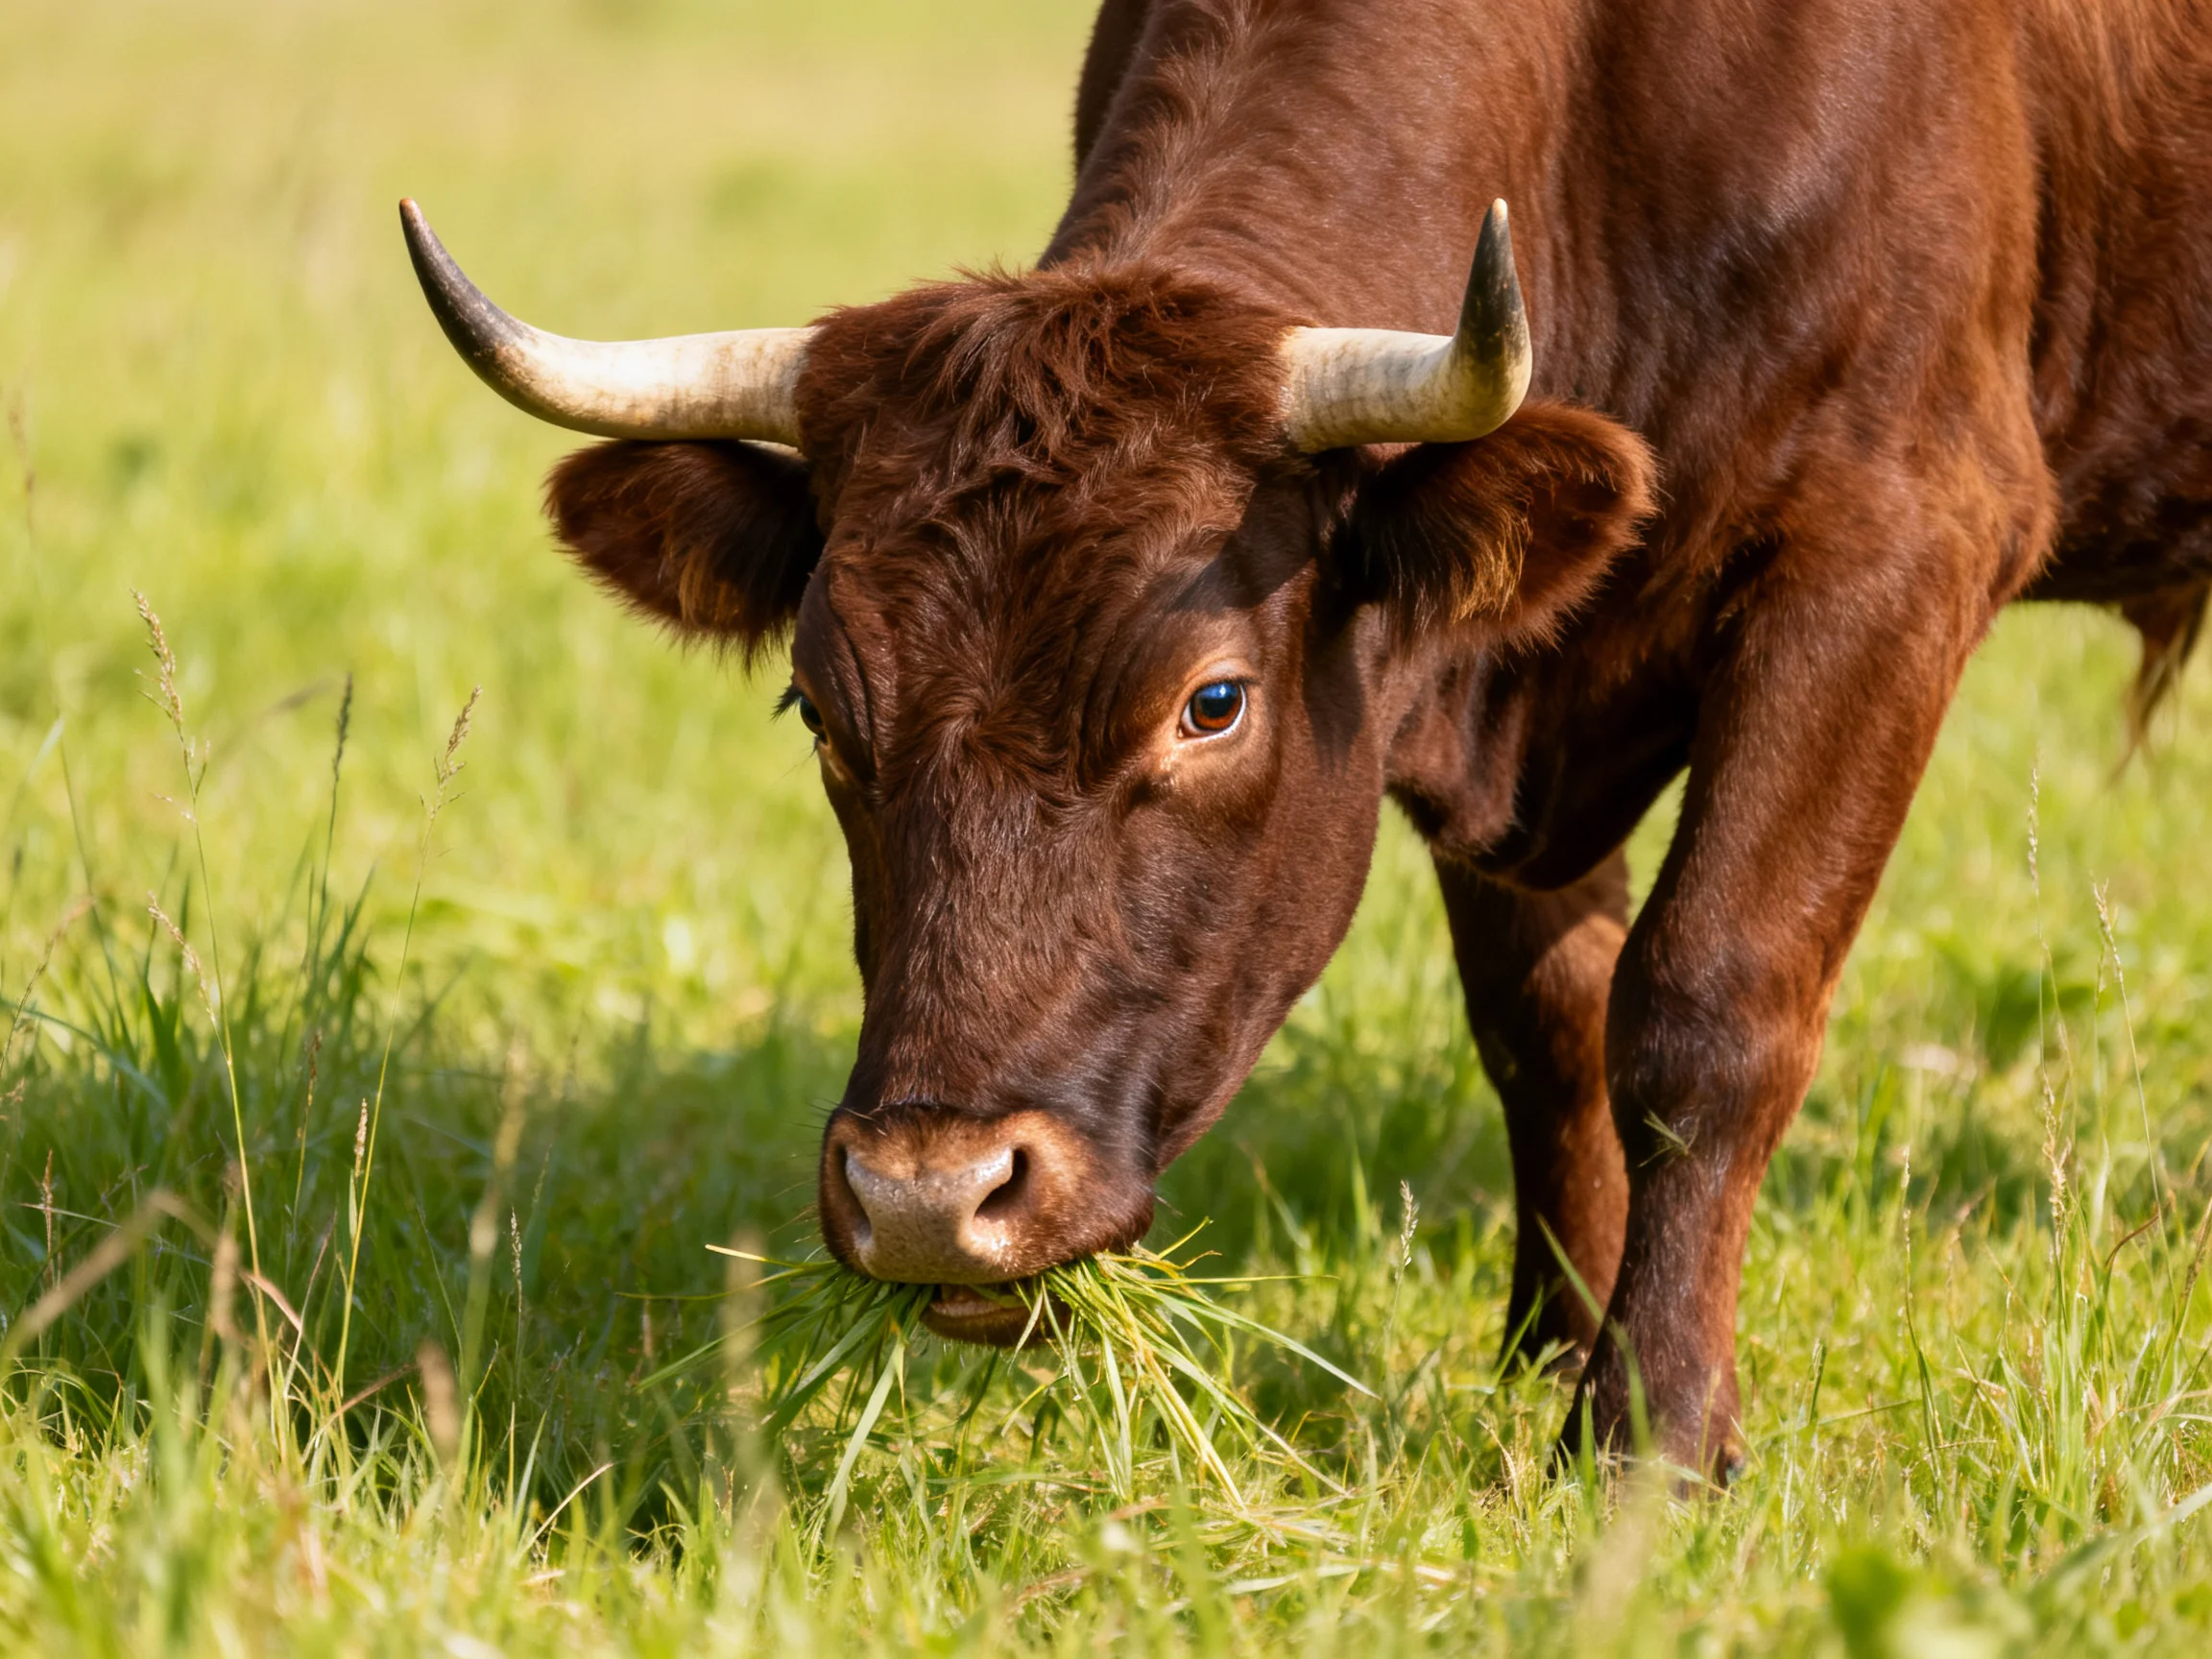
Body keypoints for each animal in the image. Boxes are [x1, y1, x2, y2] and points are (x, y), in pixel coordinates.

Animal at [400, 0, 2212, 1478]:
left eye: (1210, 700)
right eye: (820, 708)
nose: (929, 1193)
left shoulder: (1892, 540)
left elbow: (1705, 1002)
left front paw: (1651, 1435)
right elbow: (1547, 1021)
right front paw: (1547, 1353)